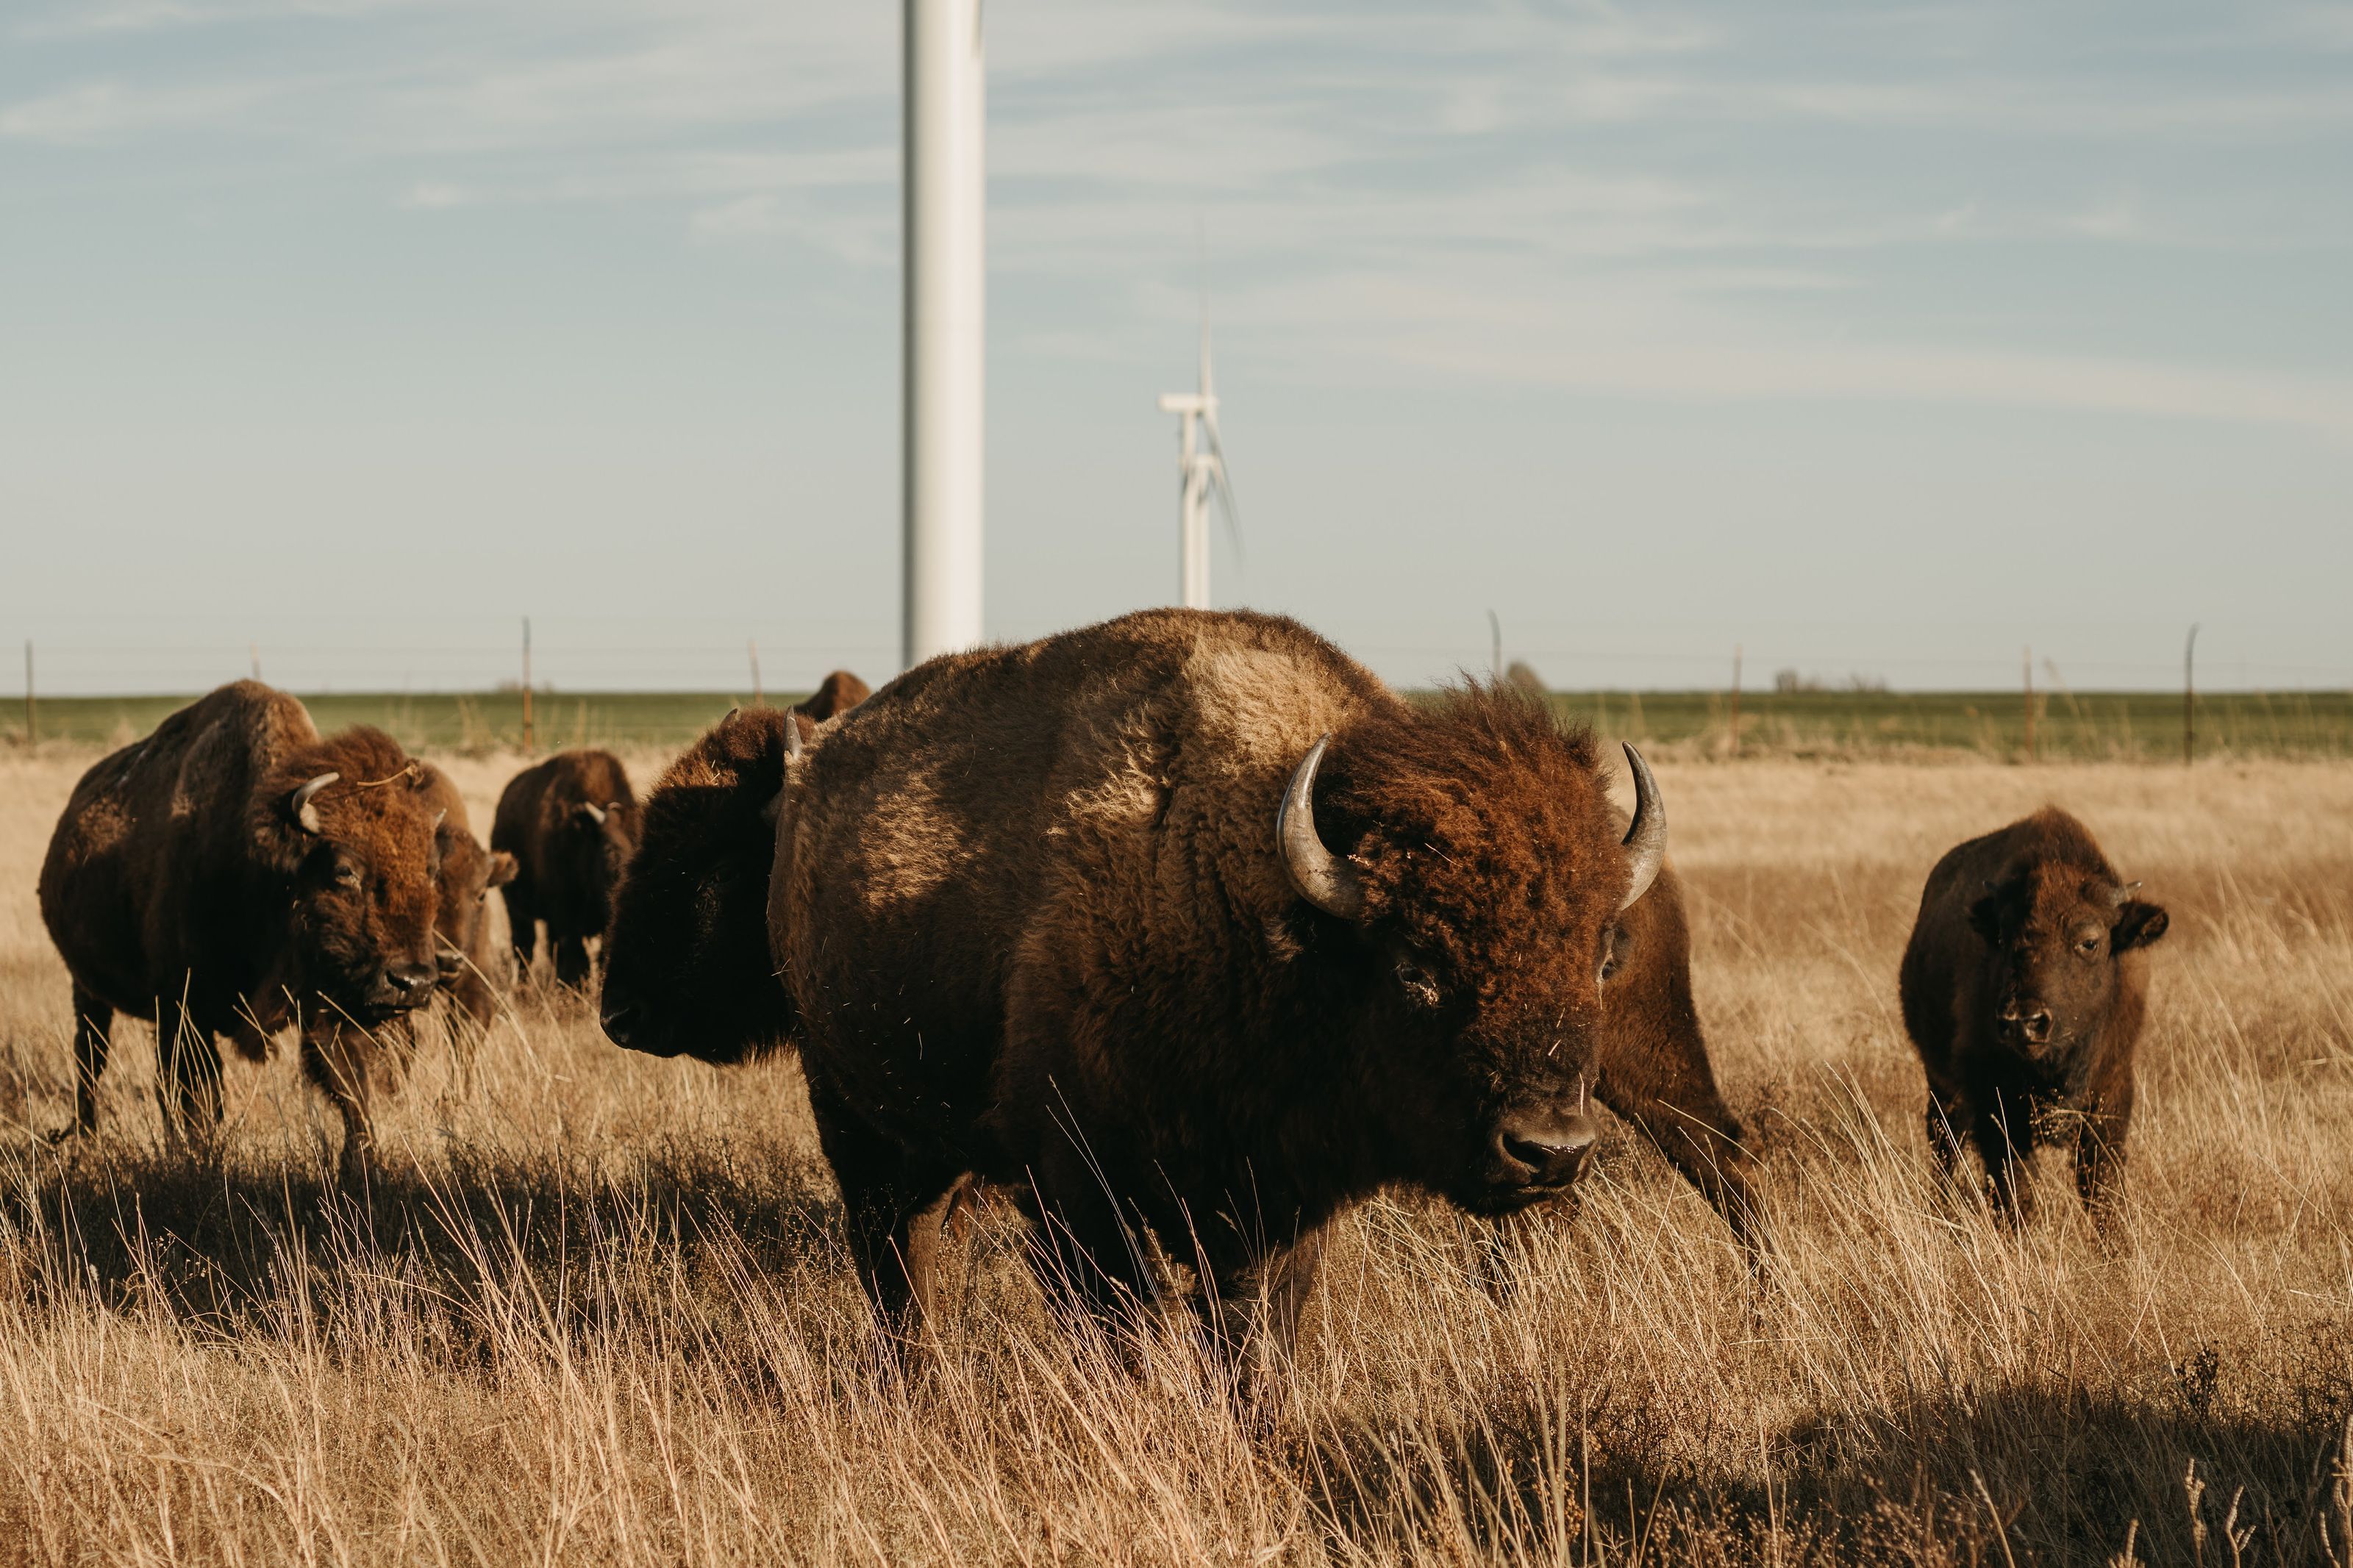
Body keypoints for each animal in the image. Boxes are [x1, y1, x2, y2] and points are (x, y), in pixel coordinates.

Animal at [38, 681, 444, 1173]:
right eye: (344, 870)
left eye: (431, 867)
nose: (413, 982)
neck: (263, 871)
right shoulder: (182, 1010)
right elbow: (193, 1096)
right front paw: (196, 1159)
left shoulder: (332, 1006)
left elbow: (351, 1087)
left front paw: (362, 1165)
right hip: (87, 989)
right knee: (90, 1058)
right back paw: (84, 1138)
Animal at [765, 609, 1671, 1360]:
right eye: (1416, 965)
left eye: (1599, 960)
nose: (1550, 1149)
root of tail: (812, 769)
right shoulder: (1077, 1181)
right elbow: (1122, 1323)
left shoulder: (1278, 1205)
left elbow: (1252, 1334)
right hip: (850, 1116)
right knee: (897, 1261)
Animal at [1898, 806, 2169, 1221]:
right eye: (2002, 938)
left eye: (2090, 941)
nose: (2023, 1023)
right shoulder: (1994, 1106)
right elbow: (2015, 1192)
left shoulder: (2111, 1091)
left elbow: (2102, 1189)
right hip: (1941, 1084)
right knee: (1945, 1144)